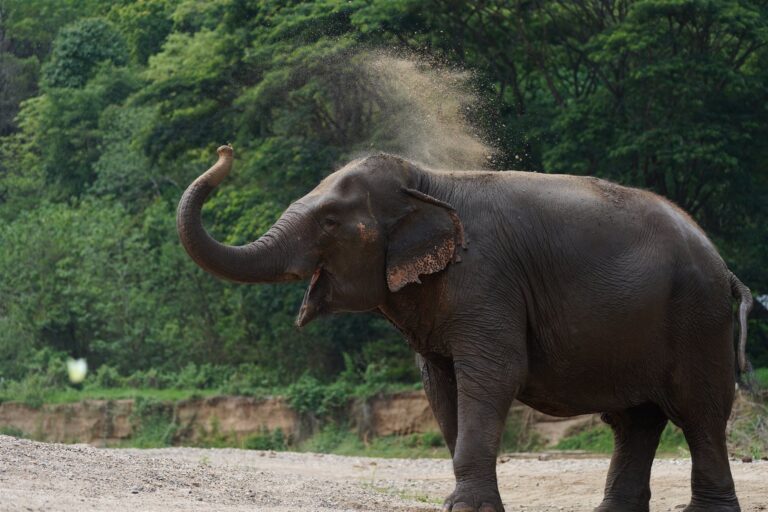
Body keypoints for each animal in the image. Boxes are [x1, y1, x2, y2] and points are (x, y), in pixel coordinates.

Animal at [177, 145, 752, 512]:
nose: (225, 150)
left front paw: (467, 508)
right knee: (637, 420)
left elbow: (493, 374)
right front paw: (465, 504)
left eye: (330, 222)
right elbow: (440, 383)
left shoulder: (486, 277)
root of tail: (725, 268)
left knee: (699, 412)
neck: (428, 181)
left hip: (697, 319)